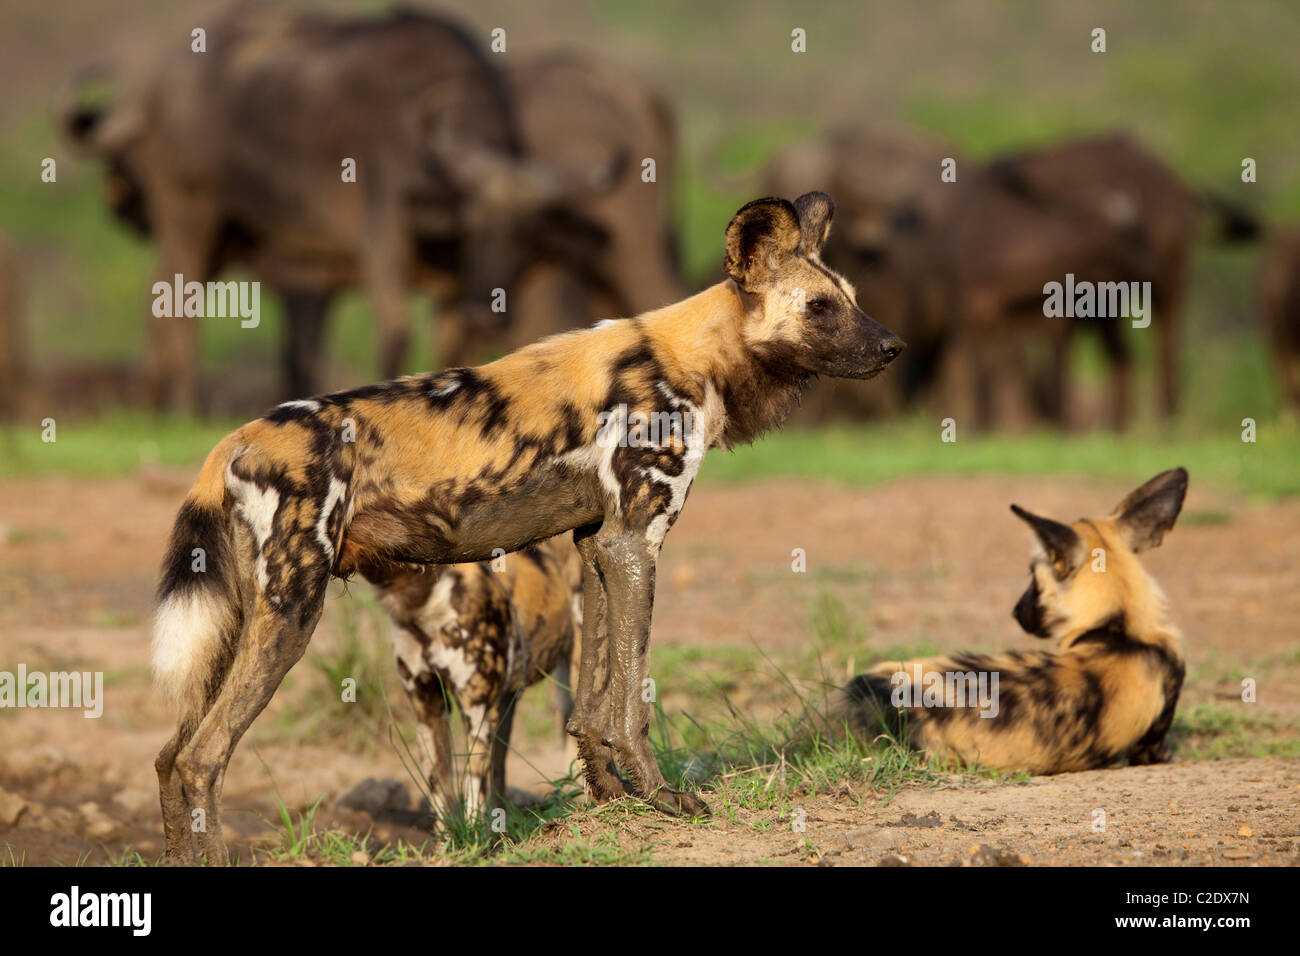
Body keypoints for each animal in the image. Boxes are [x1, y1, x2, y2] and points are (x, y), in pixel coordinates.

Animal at [374, 538, 582, 822]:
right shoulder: (428, 710)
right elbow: (442, 794)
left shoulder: (477, 711)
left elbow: (472, 793)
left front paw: (477, 832)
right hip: (510, 698)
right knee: (501, 762)